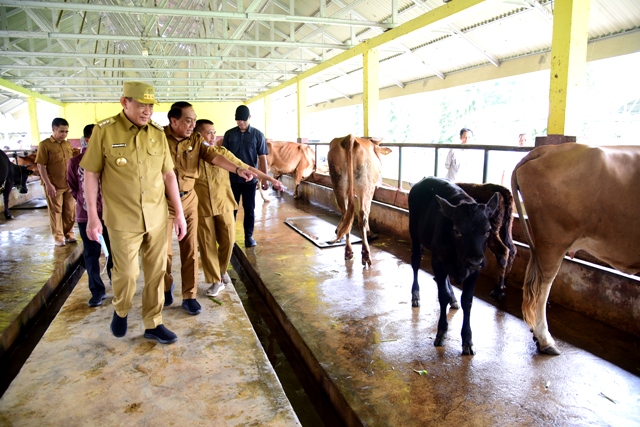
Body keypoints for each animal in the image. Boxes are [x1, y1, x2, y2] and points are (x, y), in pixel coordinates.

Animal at [330, 135, 390, 266]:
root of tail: (349, 138)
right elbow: (367, 211)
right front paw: (368, 231)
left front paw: (338, 229)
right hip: (365, 184)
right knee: (362, 213)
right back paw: (366, 254)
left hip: (338, 181)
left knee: (345, 212)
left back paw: (348, 251)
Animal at [410, 176, 500, 356]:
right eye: (457, 231)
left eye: (488, 230)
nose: (475, 261)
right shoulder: (438, 261)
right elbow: (442, 296)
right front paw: (441, 332)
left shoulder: (474, 271)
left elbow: (467, 301)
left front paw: (467, 340)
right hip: (415, 234)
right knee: (415, 262)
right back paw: (415, 295)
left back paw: (453, 298)